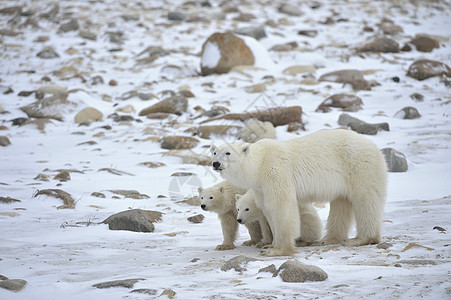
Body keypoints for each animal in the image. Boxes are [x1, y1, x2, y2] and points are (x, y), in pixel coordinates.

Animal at [212, 128, 388, 255]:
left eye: (228, 152)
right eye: (214, 152)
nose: (215, 164)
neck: (259, 164)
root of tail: (373, 146)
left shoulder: (275, 172)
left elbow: (281, 206)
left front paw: (278, 249)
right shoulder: (260, 186)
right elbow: (267, 209)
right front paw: (269, 245)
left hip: (359, 166)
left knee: (366, 199)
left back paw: (361, 238)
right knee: (341, 203)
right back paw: (328, 239)